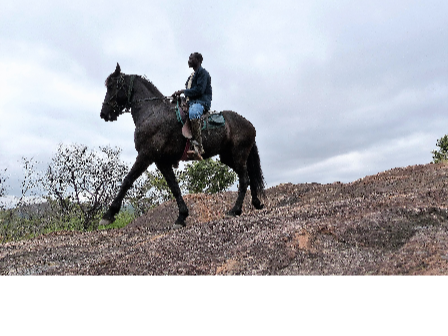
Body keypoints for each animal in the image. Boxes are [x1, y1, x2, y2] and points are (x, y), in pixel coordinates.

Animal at [99, 63, 264, 230]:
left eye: (112, 86)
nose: (104, 113)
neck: (153, 112)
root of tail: (249, 124)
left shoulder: (146, 155)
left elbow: (127, 180)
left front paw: (108, 214)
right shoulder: (161, 161)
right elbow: (174, 187)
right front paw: (181, 217)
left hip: (238, 155)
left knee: (244, 180)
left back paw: (235, 210)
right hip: (229, 157)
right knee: (249, 177)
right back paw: (256, 203)